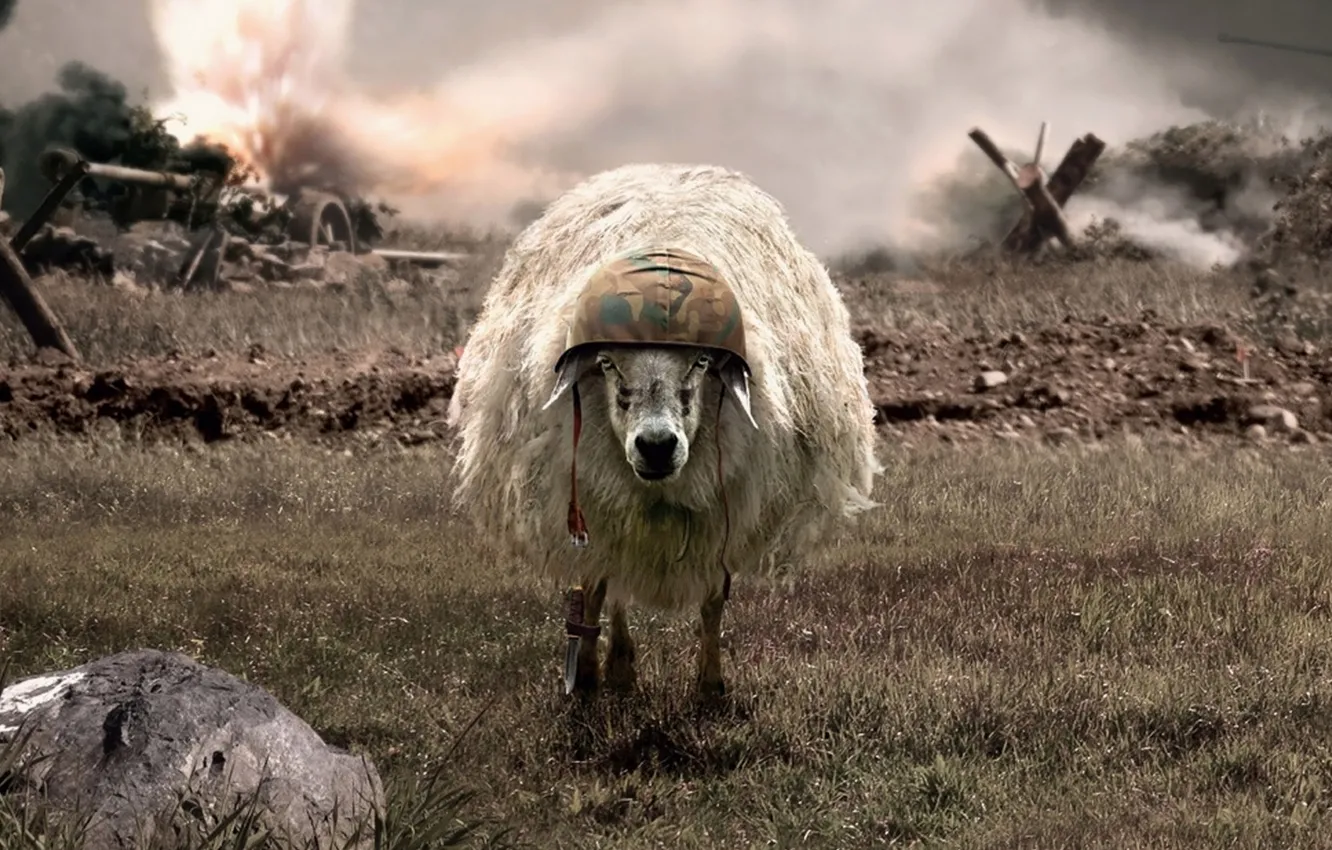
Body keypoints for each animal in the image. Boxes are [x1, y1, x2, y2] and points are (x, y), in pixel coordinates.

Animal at [446, 162, 882, 697]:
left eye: (701, 362)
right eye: (607, 363)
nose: (656, 447)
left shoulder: (723, 507)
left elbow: (713, 601)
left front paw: (710, 686)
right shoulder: (592, 498)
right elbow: (595, 586)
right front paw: (587, 676)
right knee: (610, 581)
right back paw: (617, 664)